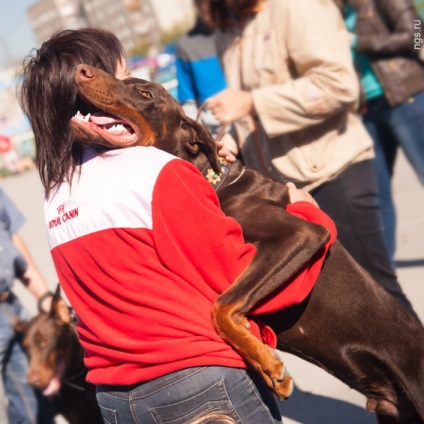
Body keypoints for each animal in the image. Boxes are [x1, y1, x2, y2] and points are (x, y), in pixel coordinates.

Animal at [70, 63, 424, 424]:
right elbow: (224, 305)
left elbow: (222, 306)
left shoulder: (302, 234)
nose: (82, 70)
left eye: (145, 92)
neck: (214, 181)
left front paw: (269, 366)